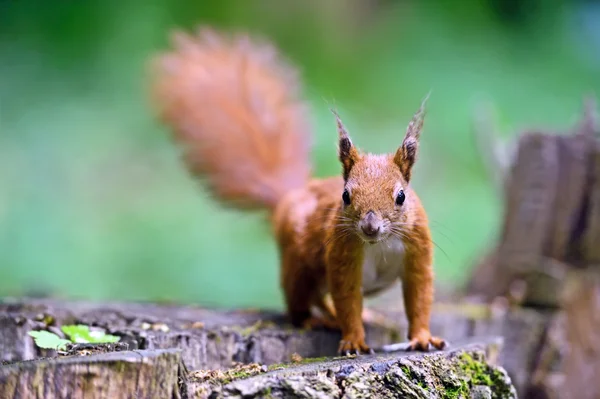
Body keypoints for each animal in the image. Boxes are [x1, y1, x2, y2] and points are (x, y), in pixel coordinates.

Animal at [152, 25, 446, 356]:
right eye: (345, 196)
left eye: (401, 196)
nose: (370, 227)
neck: (379, 244)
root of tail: (288, 197)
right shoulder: (341, 255)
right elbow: (347, 299)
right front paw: (354, 340)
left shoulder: (417, 251)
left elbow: (419, 297)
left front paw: (422, 337)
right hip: (297, 263)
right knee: (301, 300)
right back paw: (315, 320)